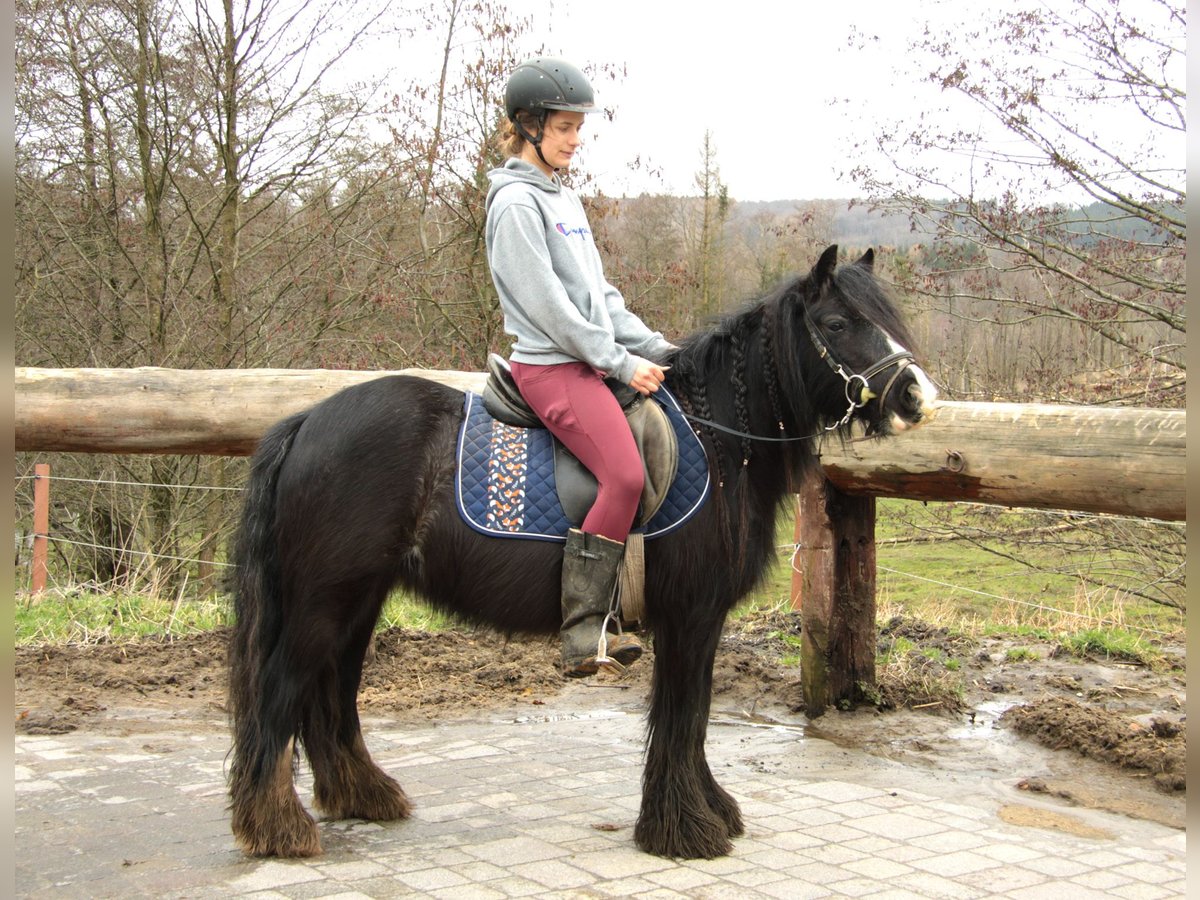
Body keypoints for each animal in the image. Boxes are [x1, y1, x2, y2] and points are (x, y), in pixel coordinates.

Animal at [225, 244, 936, 859]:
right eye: (838, 322)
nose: (916, 396)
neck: (716, 441)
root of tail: (306, 421)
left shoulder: (699, 620)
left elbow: (694, 716)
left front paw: (708, 811)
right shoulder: (690, 616)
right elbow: (681, 715)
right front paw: (684, 830)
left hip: (358, 601)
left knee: (331, 697)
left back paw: (362, 796)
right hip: (325, 601)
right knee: (282, 693)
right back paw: (278, 827)